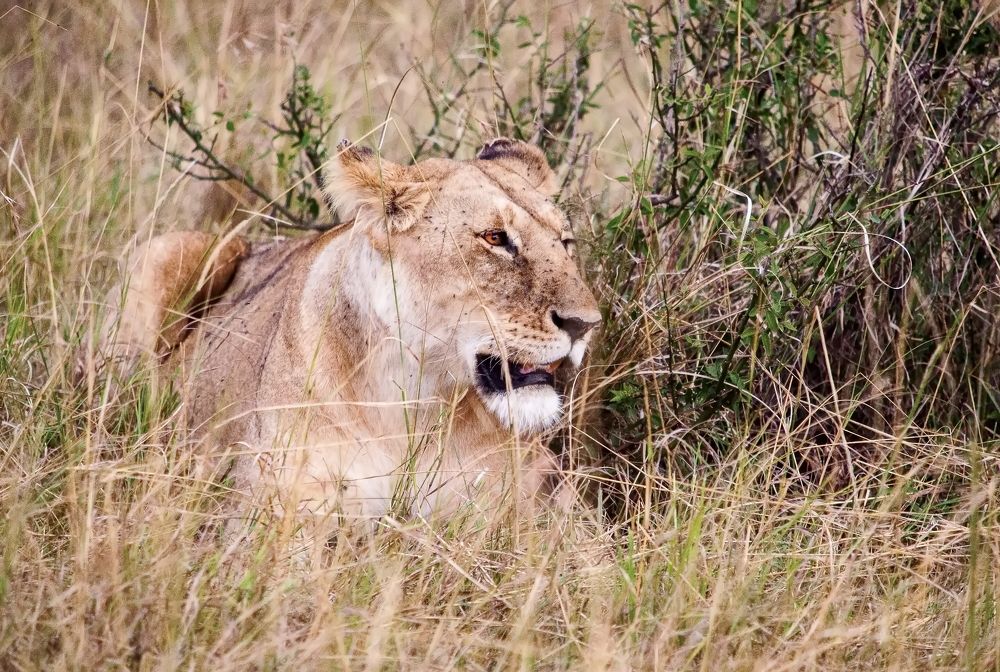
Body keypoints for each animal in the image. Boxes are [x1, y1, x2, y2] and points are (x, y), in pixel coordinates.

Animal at [102, 138, 601, 521]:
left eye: (565, 242)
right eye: (495, 238)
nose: (585, 325)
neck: (416, 402)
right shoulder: (267, 512)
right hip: (170, 252)